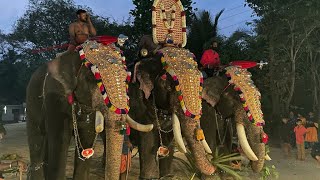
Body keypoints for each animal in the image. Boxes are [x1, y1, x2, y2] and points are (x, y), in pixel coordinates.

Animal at [26, 37, 154, 180]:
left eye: (126, 79)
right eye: (91, 79)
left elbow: (86, 140)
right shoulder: (54, 96)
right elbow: (60, 141)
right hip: (30, 101)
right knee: (36, 139)